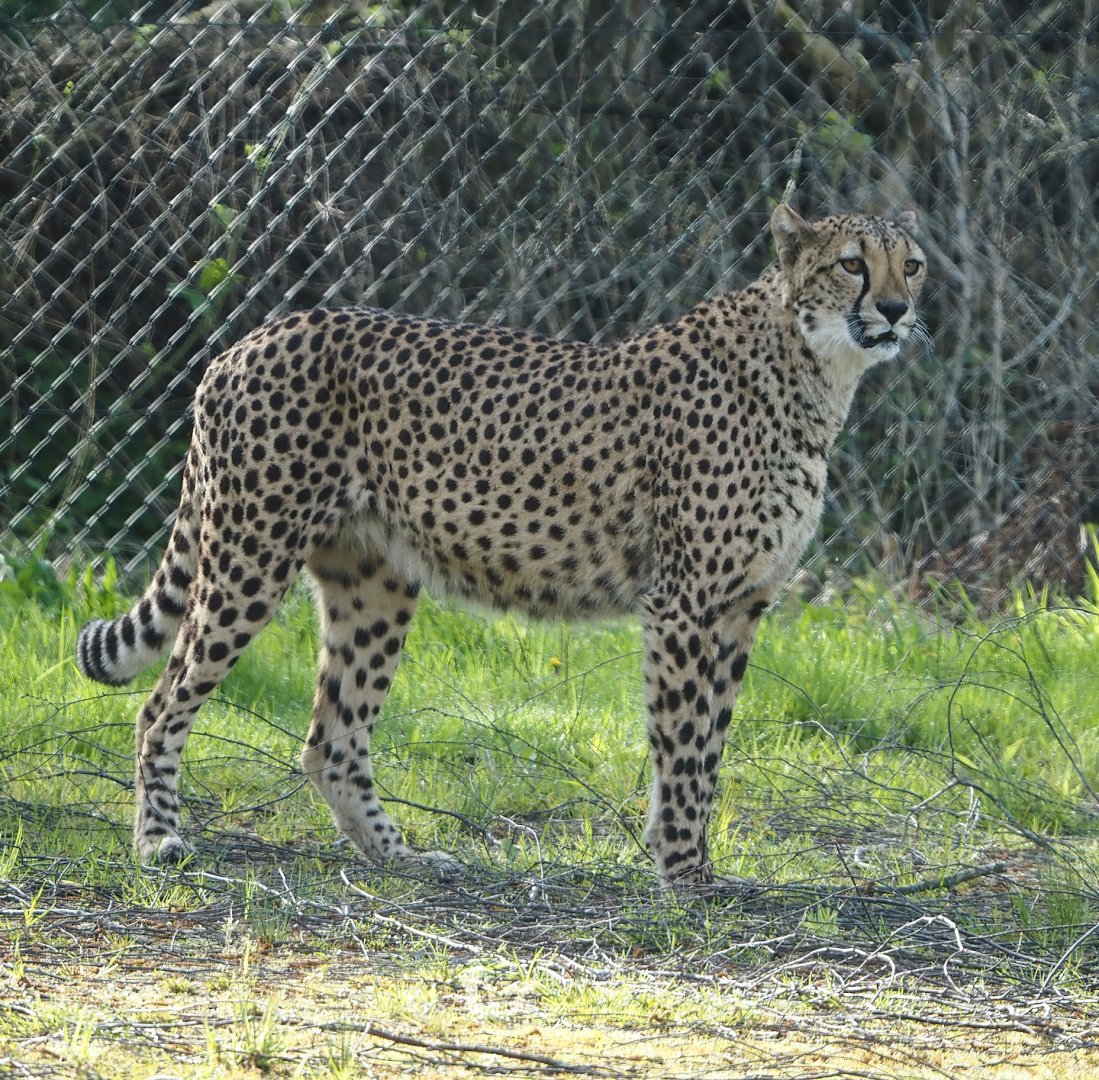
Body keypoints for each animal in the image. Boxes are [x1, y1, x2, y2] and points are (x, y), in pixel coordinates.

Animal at [75, 204, 927, 887]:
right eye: (850, 262)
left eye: (909, 263)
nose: (894, 308)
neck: (812, 369)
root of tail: (252, 336)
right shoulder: (684, 603)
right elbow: (683, 745)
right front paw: (684, 872)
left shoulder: (741, 606)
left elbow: (708, 747)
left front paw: (684, 857)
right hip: (249, 559)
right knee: (161, 704)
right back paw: (157, 840)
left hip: (373, 580)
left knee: (331, 739)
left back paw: (400, 857)